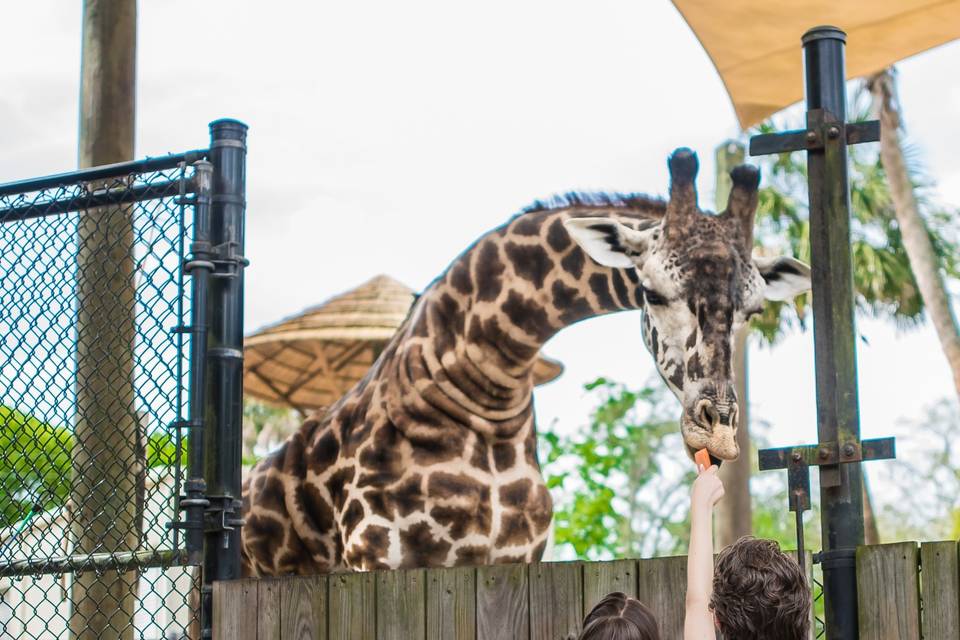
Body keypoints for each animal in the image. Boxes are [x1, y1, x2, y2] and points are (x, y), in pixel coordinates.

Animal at [240, 149, 808, 576]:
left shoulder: (514, 556)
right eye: (651, 292)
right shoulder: (379, 552)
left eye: (755, 311)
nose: (719, 433)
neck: (489, 384)